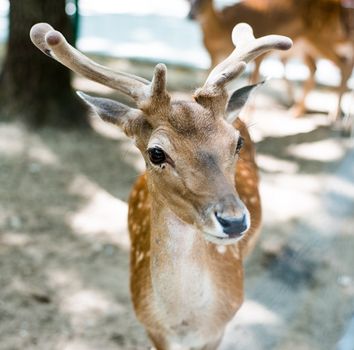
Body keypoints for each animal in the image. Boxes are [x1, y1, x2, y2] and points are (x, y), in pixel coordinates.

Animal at [29, 22, 290, 350]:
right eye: (156, 153)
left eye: (237, 142)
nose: (234, 221)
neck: (184, 323)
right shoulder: (151, 329)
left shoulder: (218, 330)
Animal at [189, 0, 354, 119]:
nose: (191, 15)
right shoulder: (212, 55)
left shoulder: (260, 56)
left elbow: (255, 81)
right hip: (307, 45)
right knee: (315, 68)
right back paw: (298, 110)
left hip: (322, 37)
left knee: (343, 63)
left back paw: (335, 117)